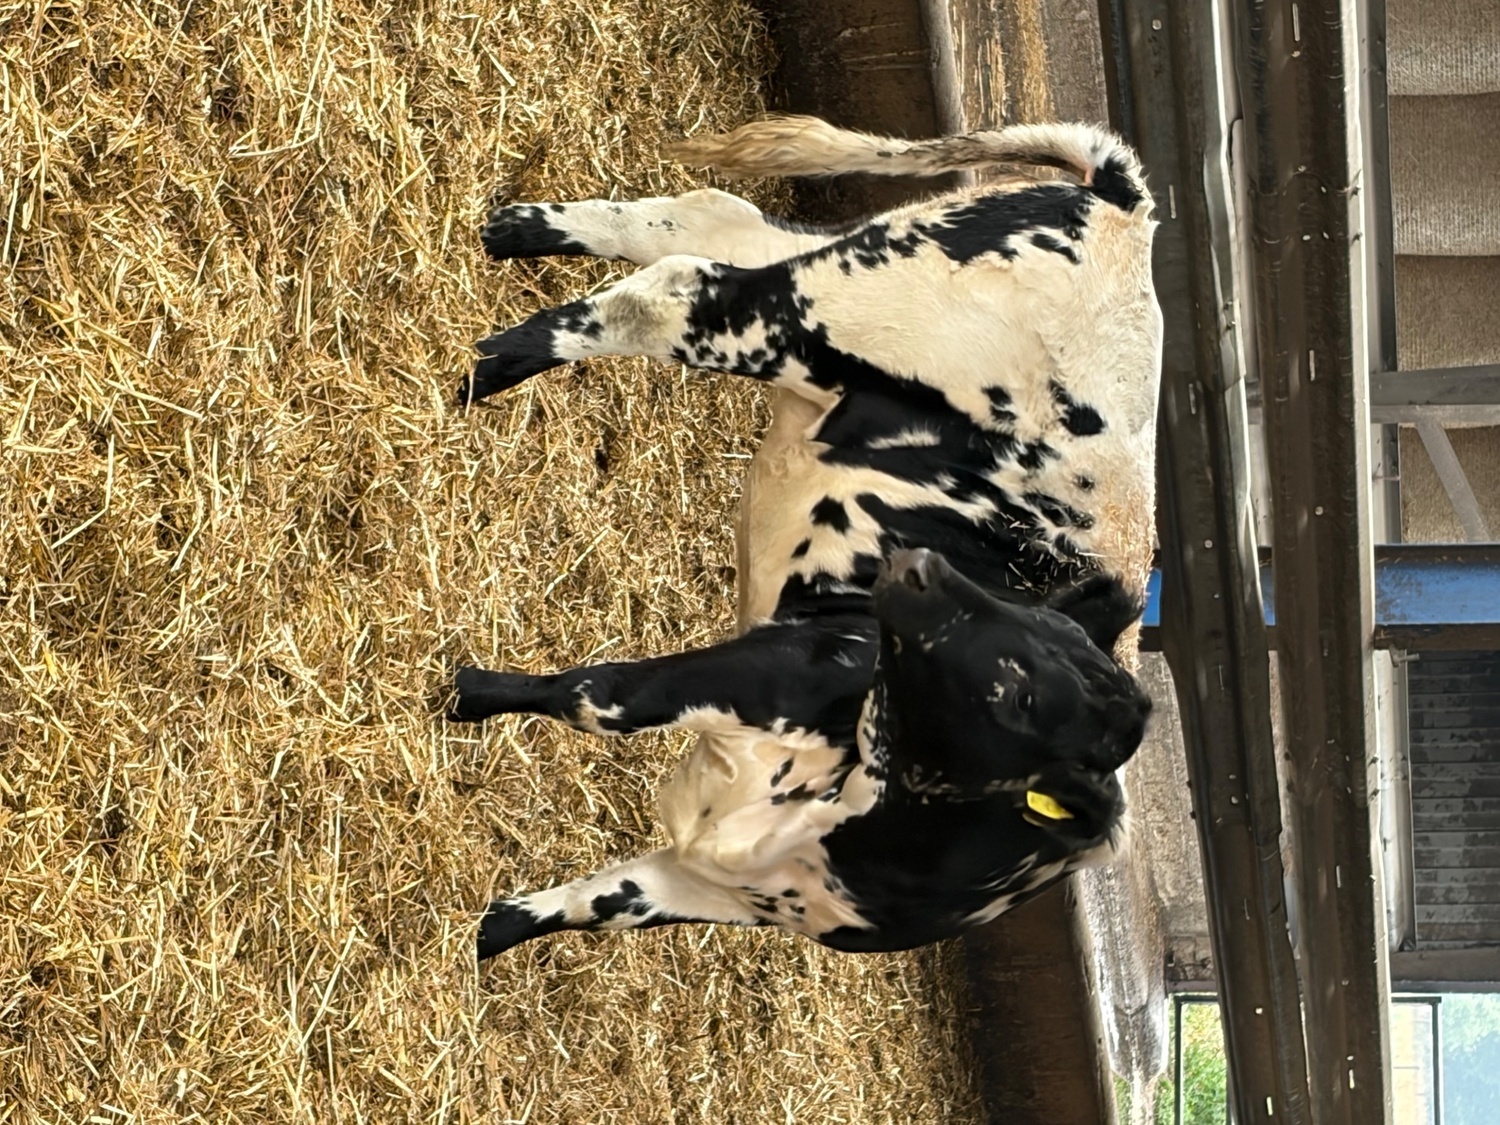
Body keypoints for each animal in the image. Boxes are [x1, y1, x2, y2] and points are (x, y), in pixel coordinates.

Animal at [450, 116, 1162, 960]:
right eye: (1023, 670)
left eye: (1025, 694)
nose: (918, 568)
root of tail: (1128, 210)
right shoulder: (783, 662)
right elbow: (601, 696)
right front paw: (463, 691)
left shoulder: (718, 888)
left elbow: (579, 906)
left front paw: (477, 942)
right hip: (821, 311)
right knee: (679, 288)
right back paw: (481, 367)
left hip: (835, 287)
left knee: (702, 223)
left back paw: (514, 231)